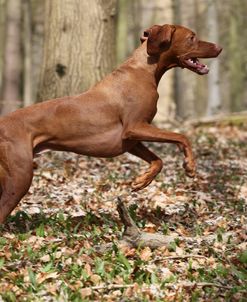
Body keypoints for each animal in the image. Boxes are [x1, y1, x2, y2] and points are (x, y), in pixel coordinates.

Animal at [0, 24, 222, 222]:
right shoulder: (134, 128)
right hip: (20, 176)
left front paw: (142, 180)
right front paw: (190, 165)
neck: (143, 70)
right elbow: (181, 136)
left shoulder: (130, 140)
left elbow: (158, 160)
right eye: (192, 37)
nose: (219, 47)